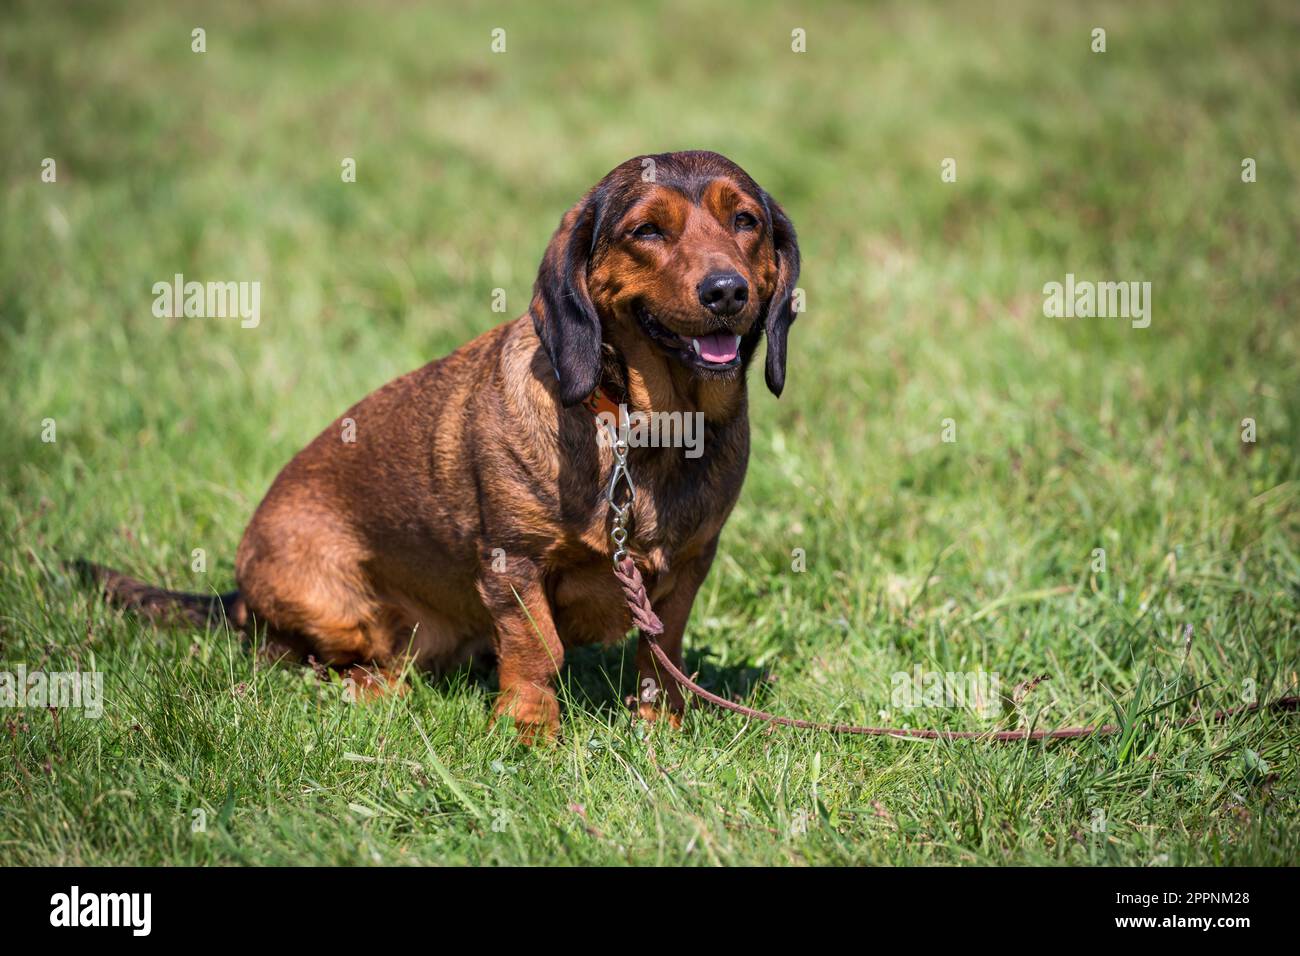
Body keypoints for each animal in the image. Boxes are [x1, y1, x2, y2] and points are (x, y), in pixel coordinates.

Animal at [81, 153, 795, 743]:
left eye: (746, 220)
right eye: (647, 231)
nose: (726, 291)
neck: (646, 429)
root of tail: (238, 595)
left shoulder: (689, 567)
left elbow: (661, 654)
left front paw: (659, 729)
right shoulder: (512, 565)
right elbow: (538, 650)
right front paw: (529, 734)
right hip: (333, 606)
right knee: (308, 659)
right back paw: (367, 689)